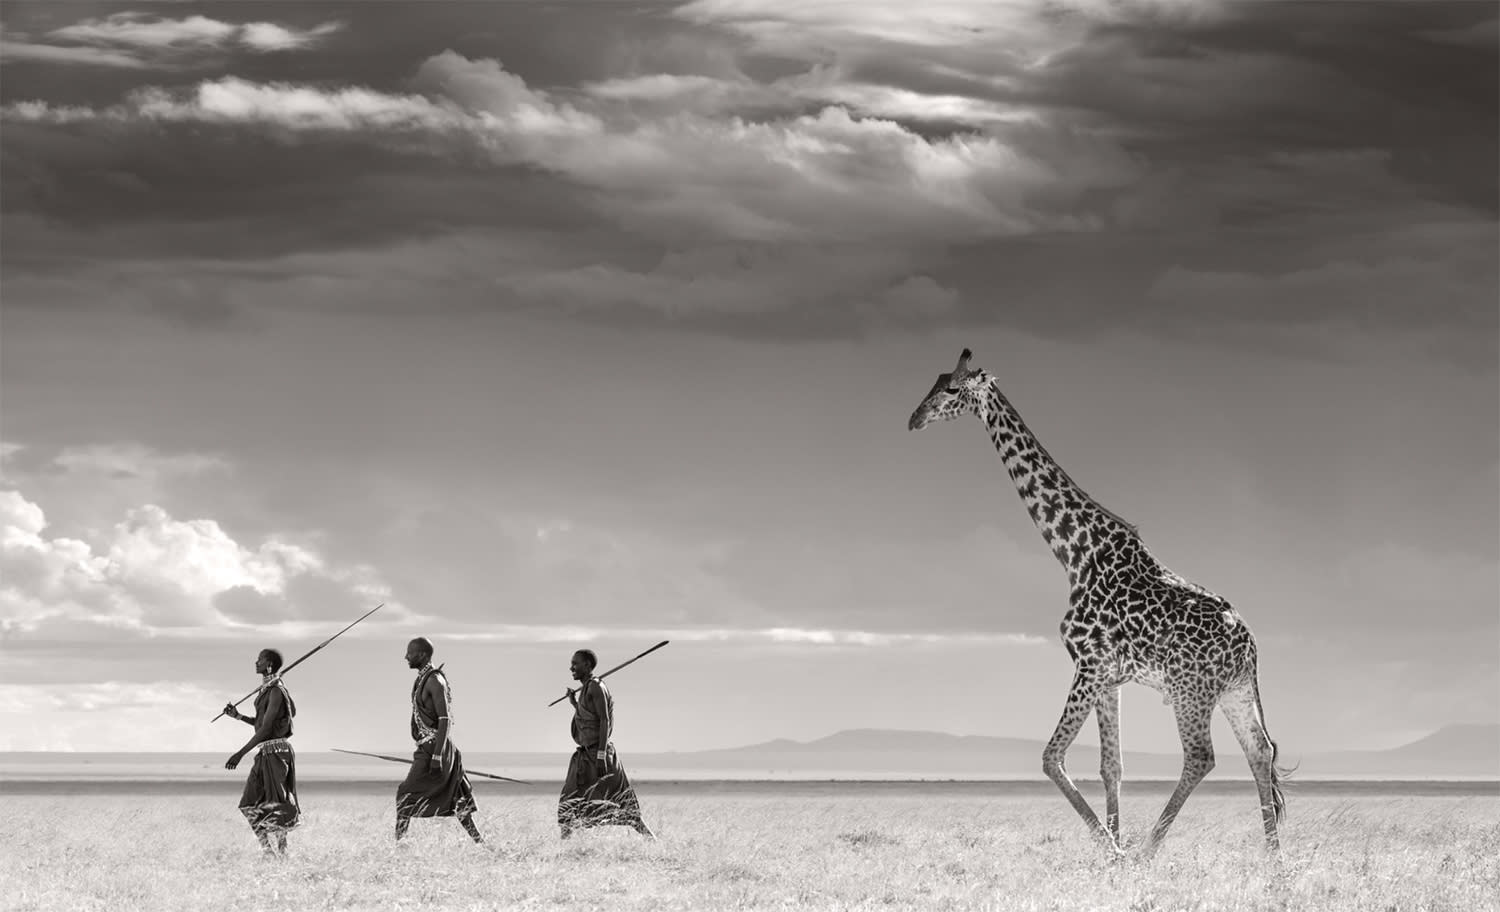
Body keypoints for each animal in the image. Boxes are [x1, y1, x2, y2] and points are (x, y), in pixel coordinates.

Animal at [907, 348, 1289, 858]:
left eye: (951, 389)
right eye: (935, 381)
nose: (914, 418)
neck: (1076, 550)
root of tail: (1249, 647)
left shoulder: (1088, 664)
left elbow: (1051, 757)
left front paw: (1114, 849)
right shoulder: (1110, 677)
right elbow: (1113, 766)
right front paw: (1112, 843)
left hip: (1190, 692)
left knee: (1200, 757)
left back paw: (1149, 851)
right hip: (1234, 692)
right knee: (1259, 750)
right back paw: (1273, 857)